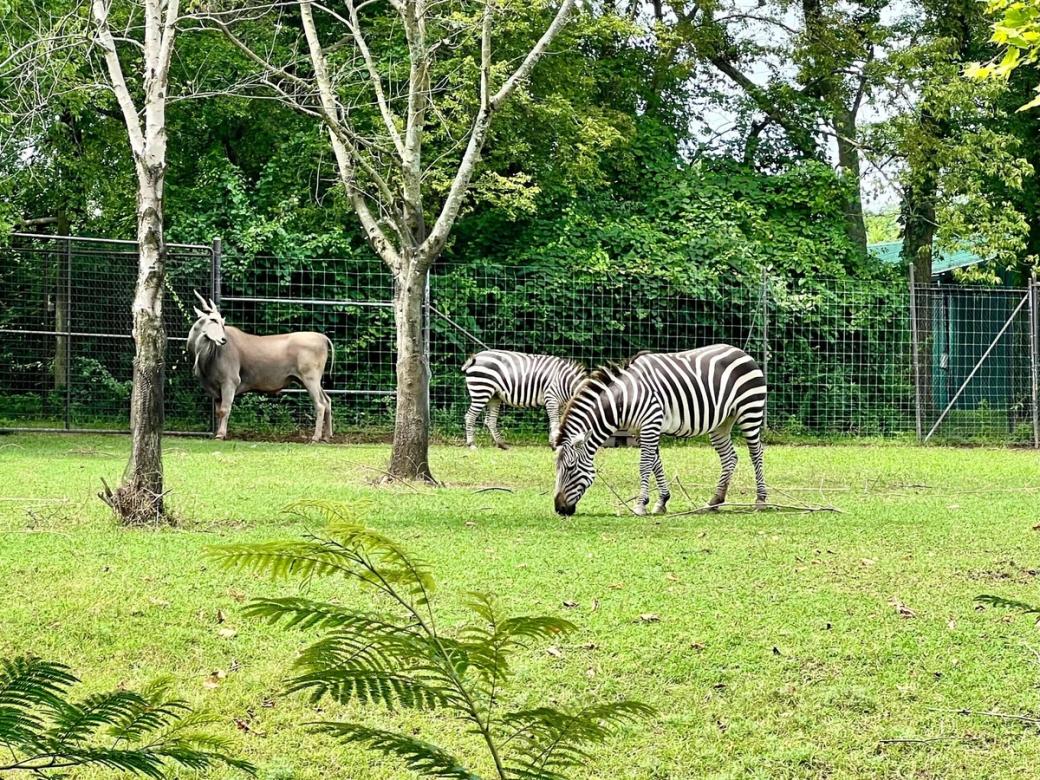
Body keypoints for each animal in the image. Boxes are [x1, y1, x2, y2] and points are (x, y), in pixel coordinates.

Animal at [552, 344, 767, 516]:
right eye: (557, 468)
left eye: (570, 468)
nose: (559, 509)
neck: (625, 398)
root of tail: (742, 352)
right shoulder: (641, 429)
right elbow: (655, 463)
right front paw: (661, 501)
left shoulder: (651, 422)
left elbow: (645, 464)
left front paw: (640, 505)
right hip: (721, 422)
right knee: (730, 457)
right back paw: (715, 501)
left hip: (750, 410)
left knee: (756, 453)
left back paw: (761, 500)